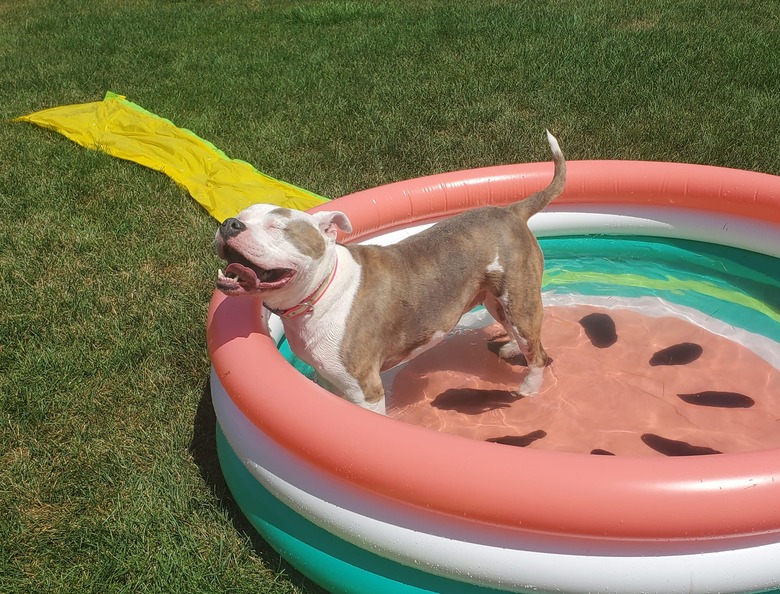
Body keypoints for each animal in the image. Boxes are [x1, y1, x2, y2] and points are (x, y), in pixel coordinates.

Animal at [215, 132, 568, 414]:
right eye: (241, 214)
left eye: (278, 227)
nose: (230, 223)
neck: (321, 293)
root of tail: (512, 210)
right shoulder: (329, 380)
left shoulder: (365, 391)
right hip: (496, 299)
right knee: (526, 336)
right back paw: (512, 349)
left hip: (518, 298)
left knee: (537, 353)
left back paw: (529, 388)